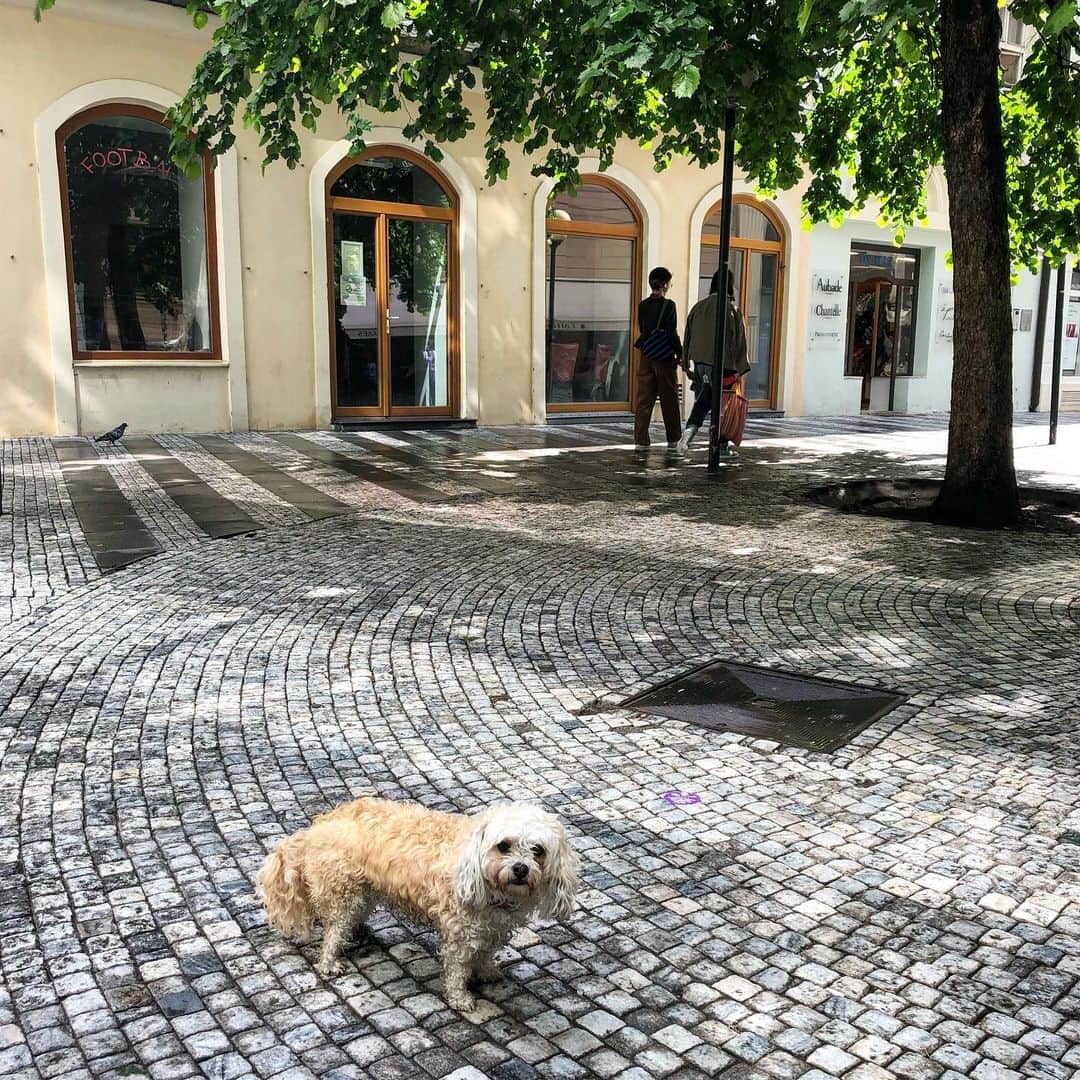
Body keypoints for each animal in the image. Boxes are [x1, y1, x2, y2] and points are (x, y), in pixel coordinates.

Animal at [257, 799, 578, 1006]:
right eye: (504, 846)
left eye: (538, 850)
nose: (521, 869)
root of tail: (316, 828)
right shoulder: (459, 931)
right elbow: (458, 967)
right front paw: (460, 997)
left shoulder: (492, 928)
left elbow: (486, 953)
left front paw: (486, 971)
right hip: (343, 893)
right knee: (334, 931)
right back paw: (330, 962)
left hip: (365, 890)